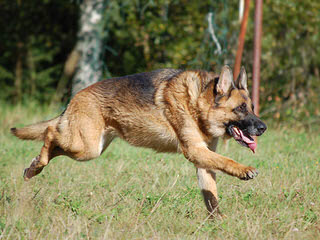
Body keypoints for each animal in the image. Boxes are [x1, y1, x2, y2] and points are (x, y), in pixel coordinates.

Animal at [11, 65, 264, 216]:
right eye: (240, 109)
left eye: (252, 107)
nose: (263, 127)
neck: (198, 102)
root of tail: (74, 98)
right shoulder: (194, 151)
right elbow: (227, 161)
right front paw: (244, 170)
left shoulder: (203, 160)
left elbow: (211, 197)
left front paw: (217, 224)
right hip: (84, 146)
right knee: (50, 132)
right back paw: (37, 165)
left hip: (92, 148)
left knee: (53, 142)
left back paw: (33, 168)